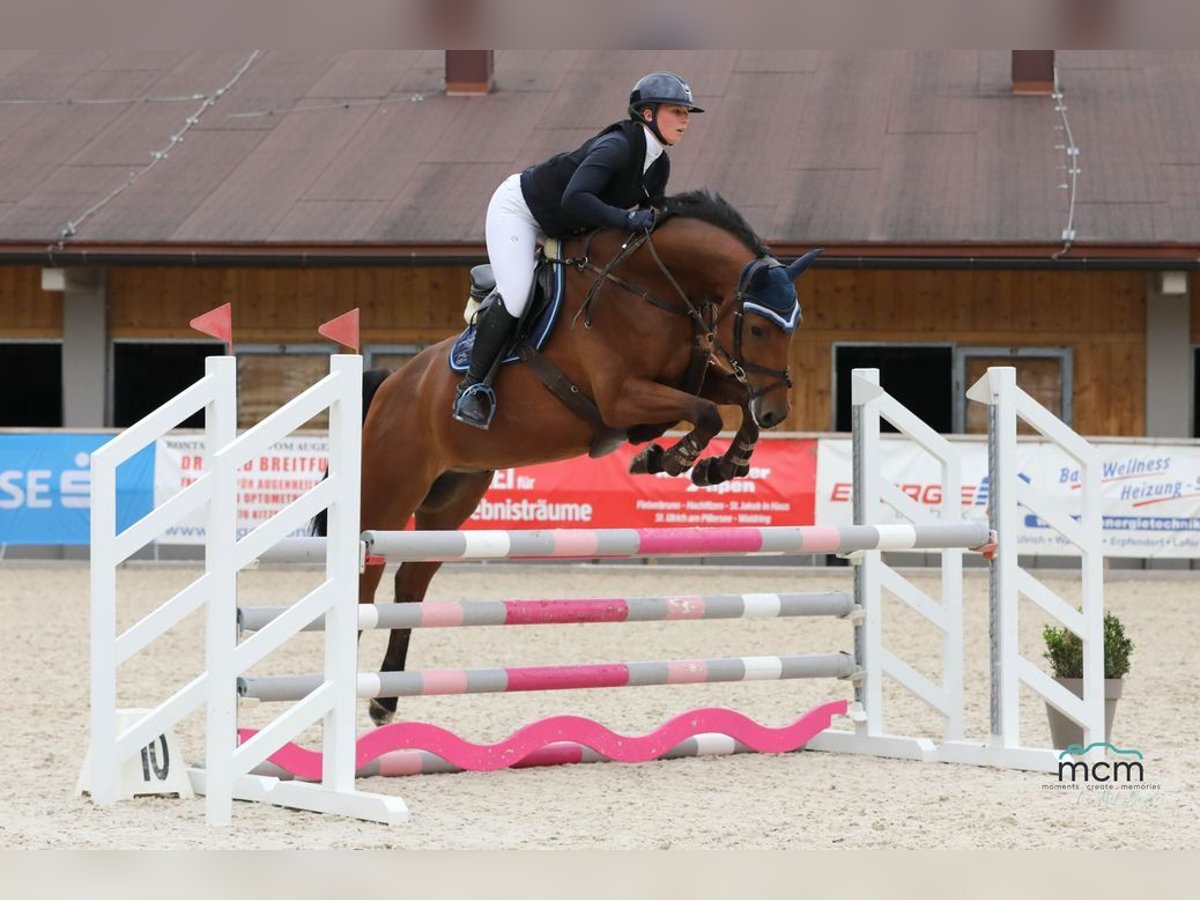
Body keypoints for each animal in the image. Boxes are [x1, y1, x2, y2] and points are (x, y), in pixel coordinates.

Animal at [324, 190, 820, 724]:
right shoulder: (622, 397)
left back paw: (384, 699)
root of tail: (391, 383)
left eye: (796, 325)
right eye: (758, 328)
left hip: (454, 493)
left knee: (412, 581)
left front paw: (721, 465)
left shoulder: (691, 377)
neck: (649, 284)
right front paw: (665, 458)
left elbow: (732, 401)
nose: (777, 411)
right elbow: (706, 412)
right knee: (366, 581)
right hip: (389, 490)